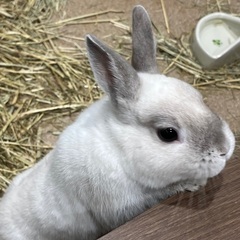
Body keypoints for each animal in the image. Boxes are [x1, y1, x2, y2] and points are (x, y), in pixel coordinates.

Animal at [0, 4, 234, 240]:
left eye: (199, 97)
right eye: (167, 133)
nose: (225, 150)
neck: (118, 145)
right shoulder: (125, 206)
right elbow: (160, 194)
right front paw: (194, 183)